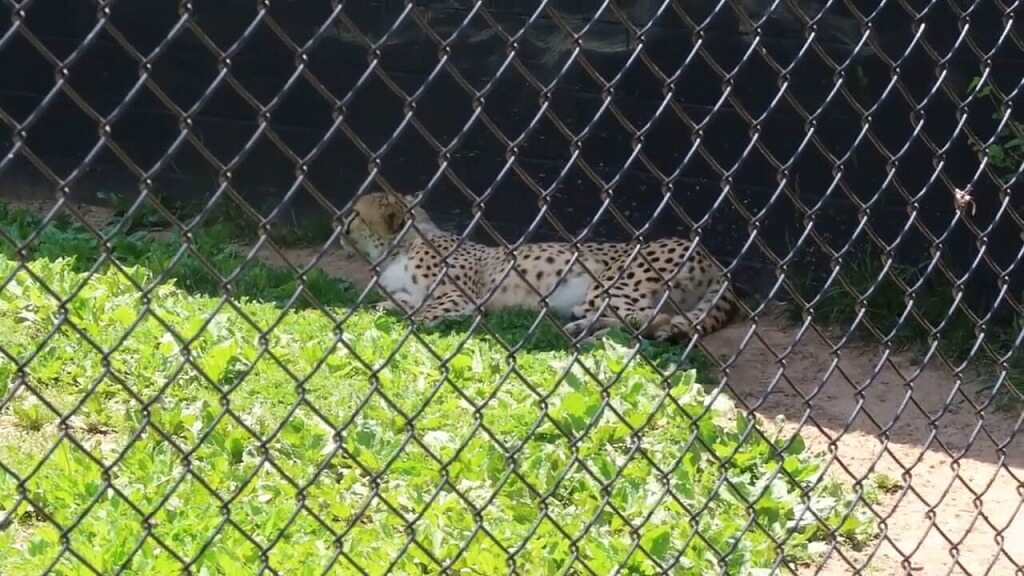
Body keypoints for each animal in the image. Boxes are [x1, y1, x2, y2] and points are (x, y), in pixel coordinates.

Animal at [339, 188, 741, 340]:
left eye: (355, 214)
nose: (336, 219)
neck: (399, 246)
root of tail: (708, 255)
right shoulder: (405, 294)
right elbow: (391, 304)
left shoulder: (460, 297)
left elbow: (421, 314)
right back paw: (584, 329)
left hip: (607, 284)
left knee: (649, 318)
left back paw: (591, 334)